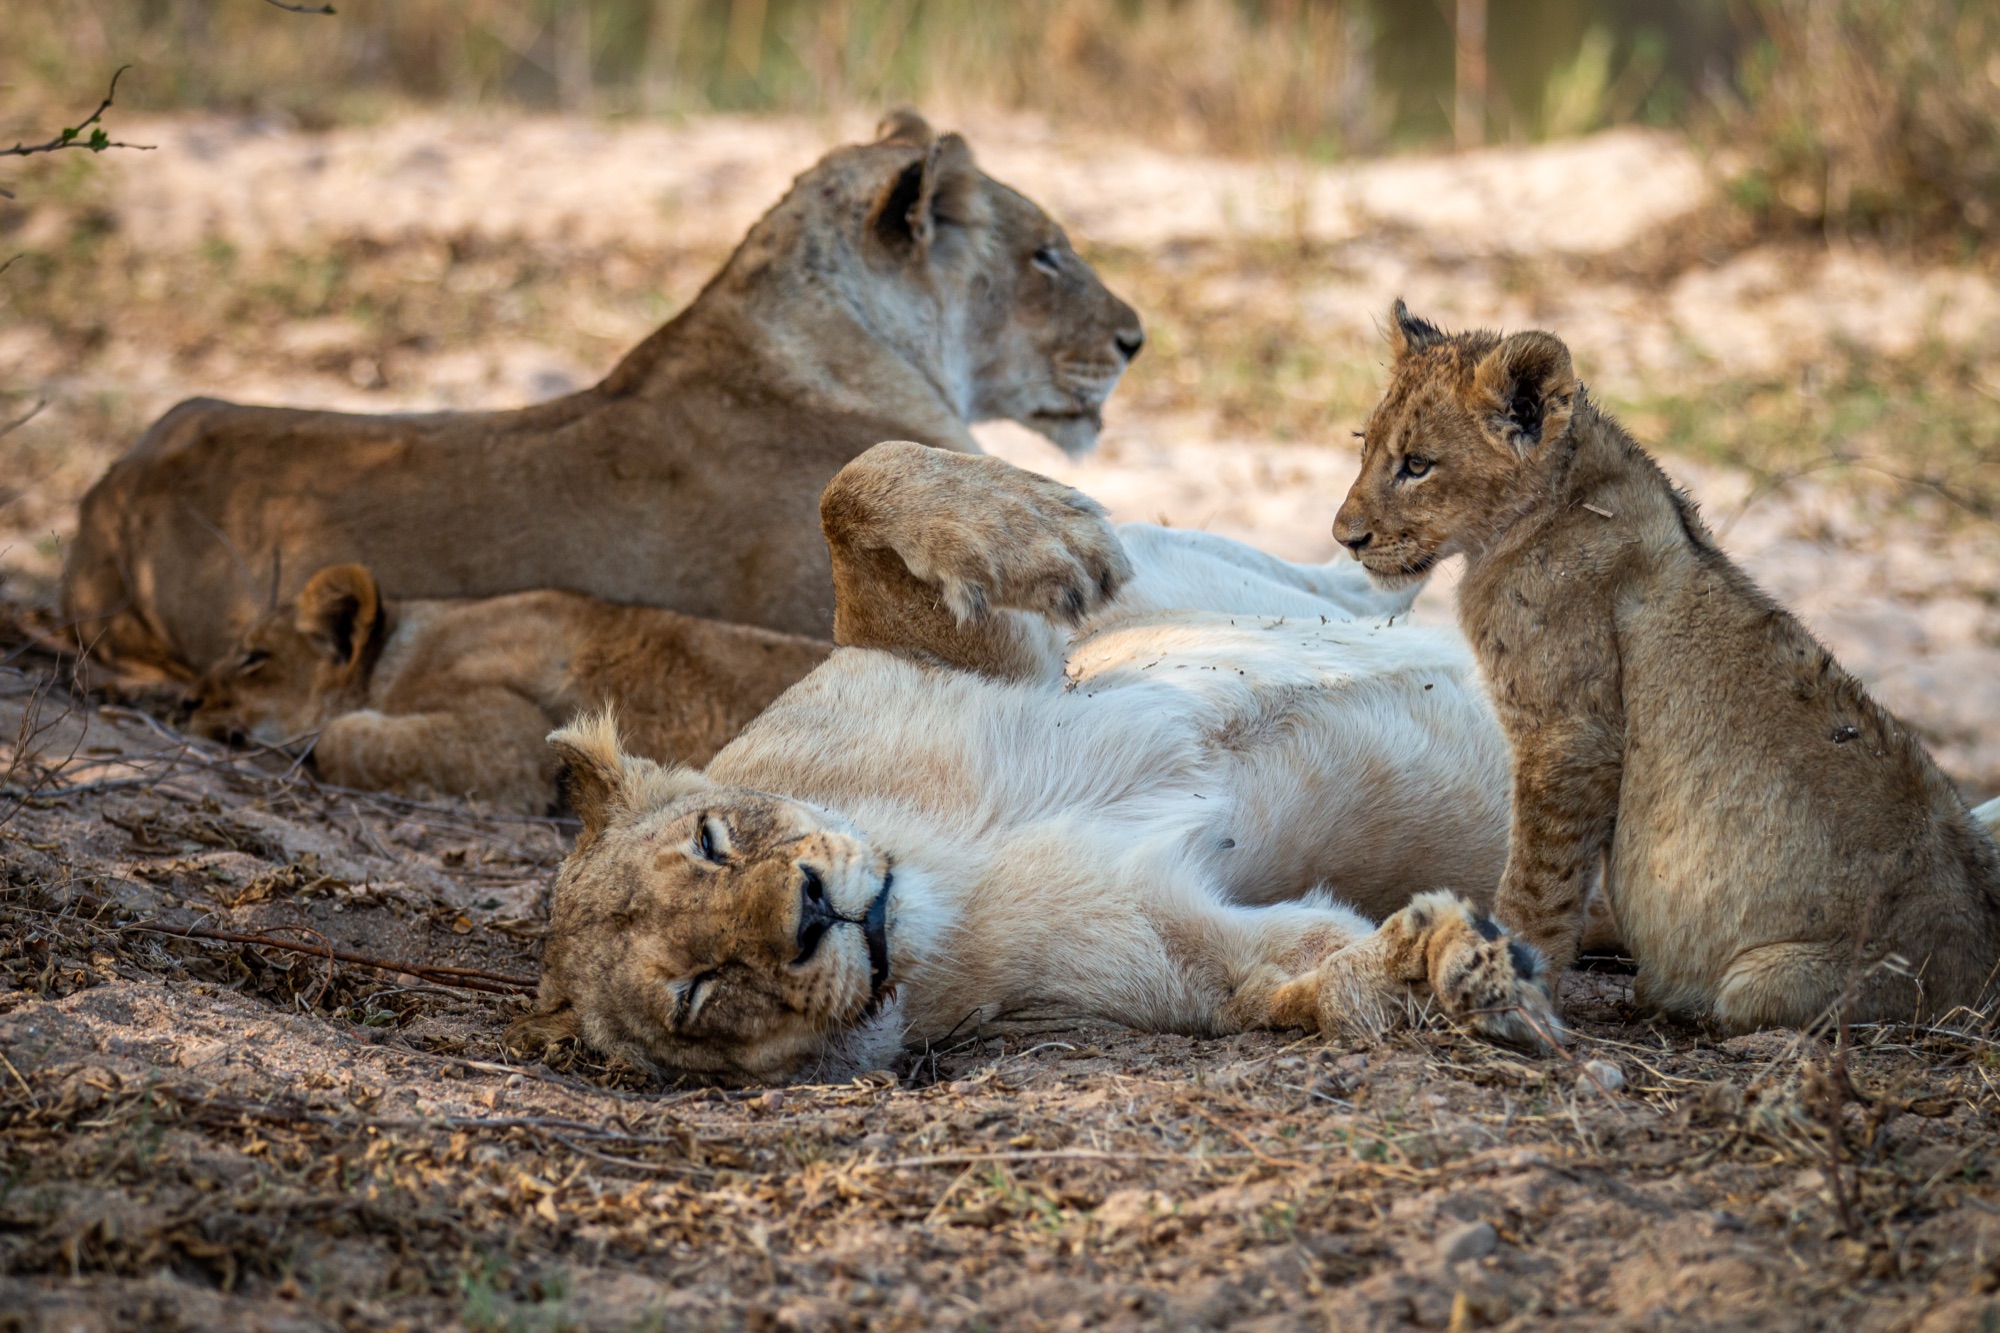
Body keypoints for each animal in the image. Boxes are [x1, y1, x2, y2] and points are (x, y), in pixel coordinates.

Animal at [506, 440, 1552, 1084]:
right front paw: (1455, 963)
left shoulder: (953, 657)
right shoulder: (1180, 951)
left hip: (1205, 568)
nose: (807, 913)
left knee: (1337, 583)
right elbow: (1316, 975)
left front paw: (1044, 529)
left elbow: (853, 489)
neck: (944, 864)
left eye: (712, 838)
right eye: (696, 993)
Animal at [1331, 300, 2000, 1032]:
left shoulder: (1570, 734)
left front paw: (1504, 983)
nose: (1345, 537)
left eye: (1417, 464)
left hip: (1763, 977)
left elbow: (1537, 877)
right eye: (1365, 448)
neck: (1559, 496)